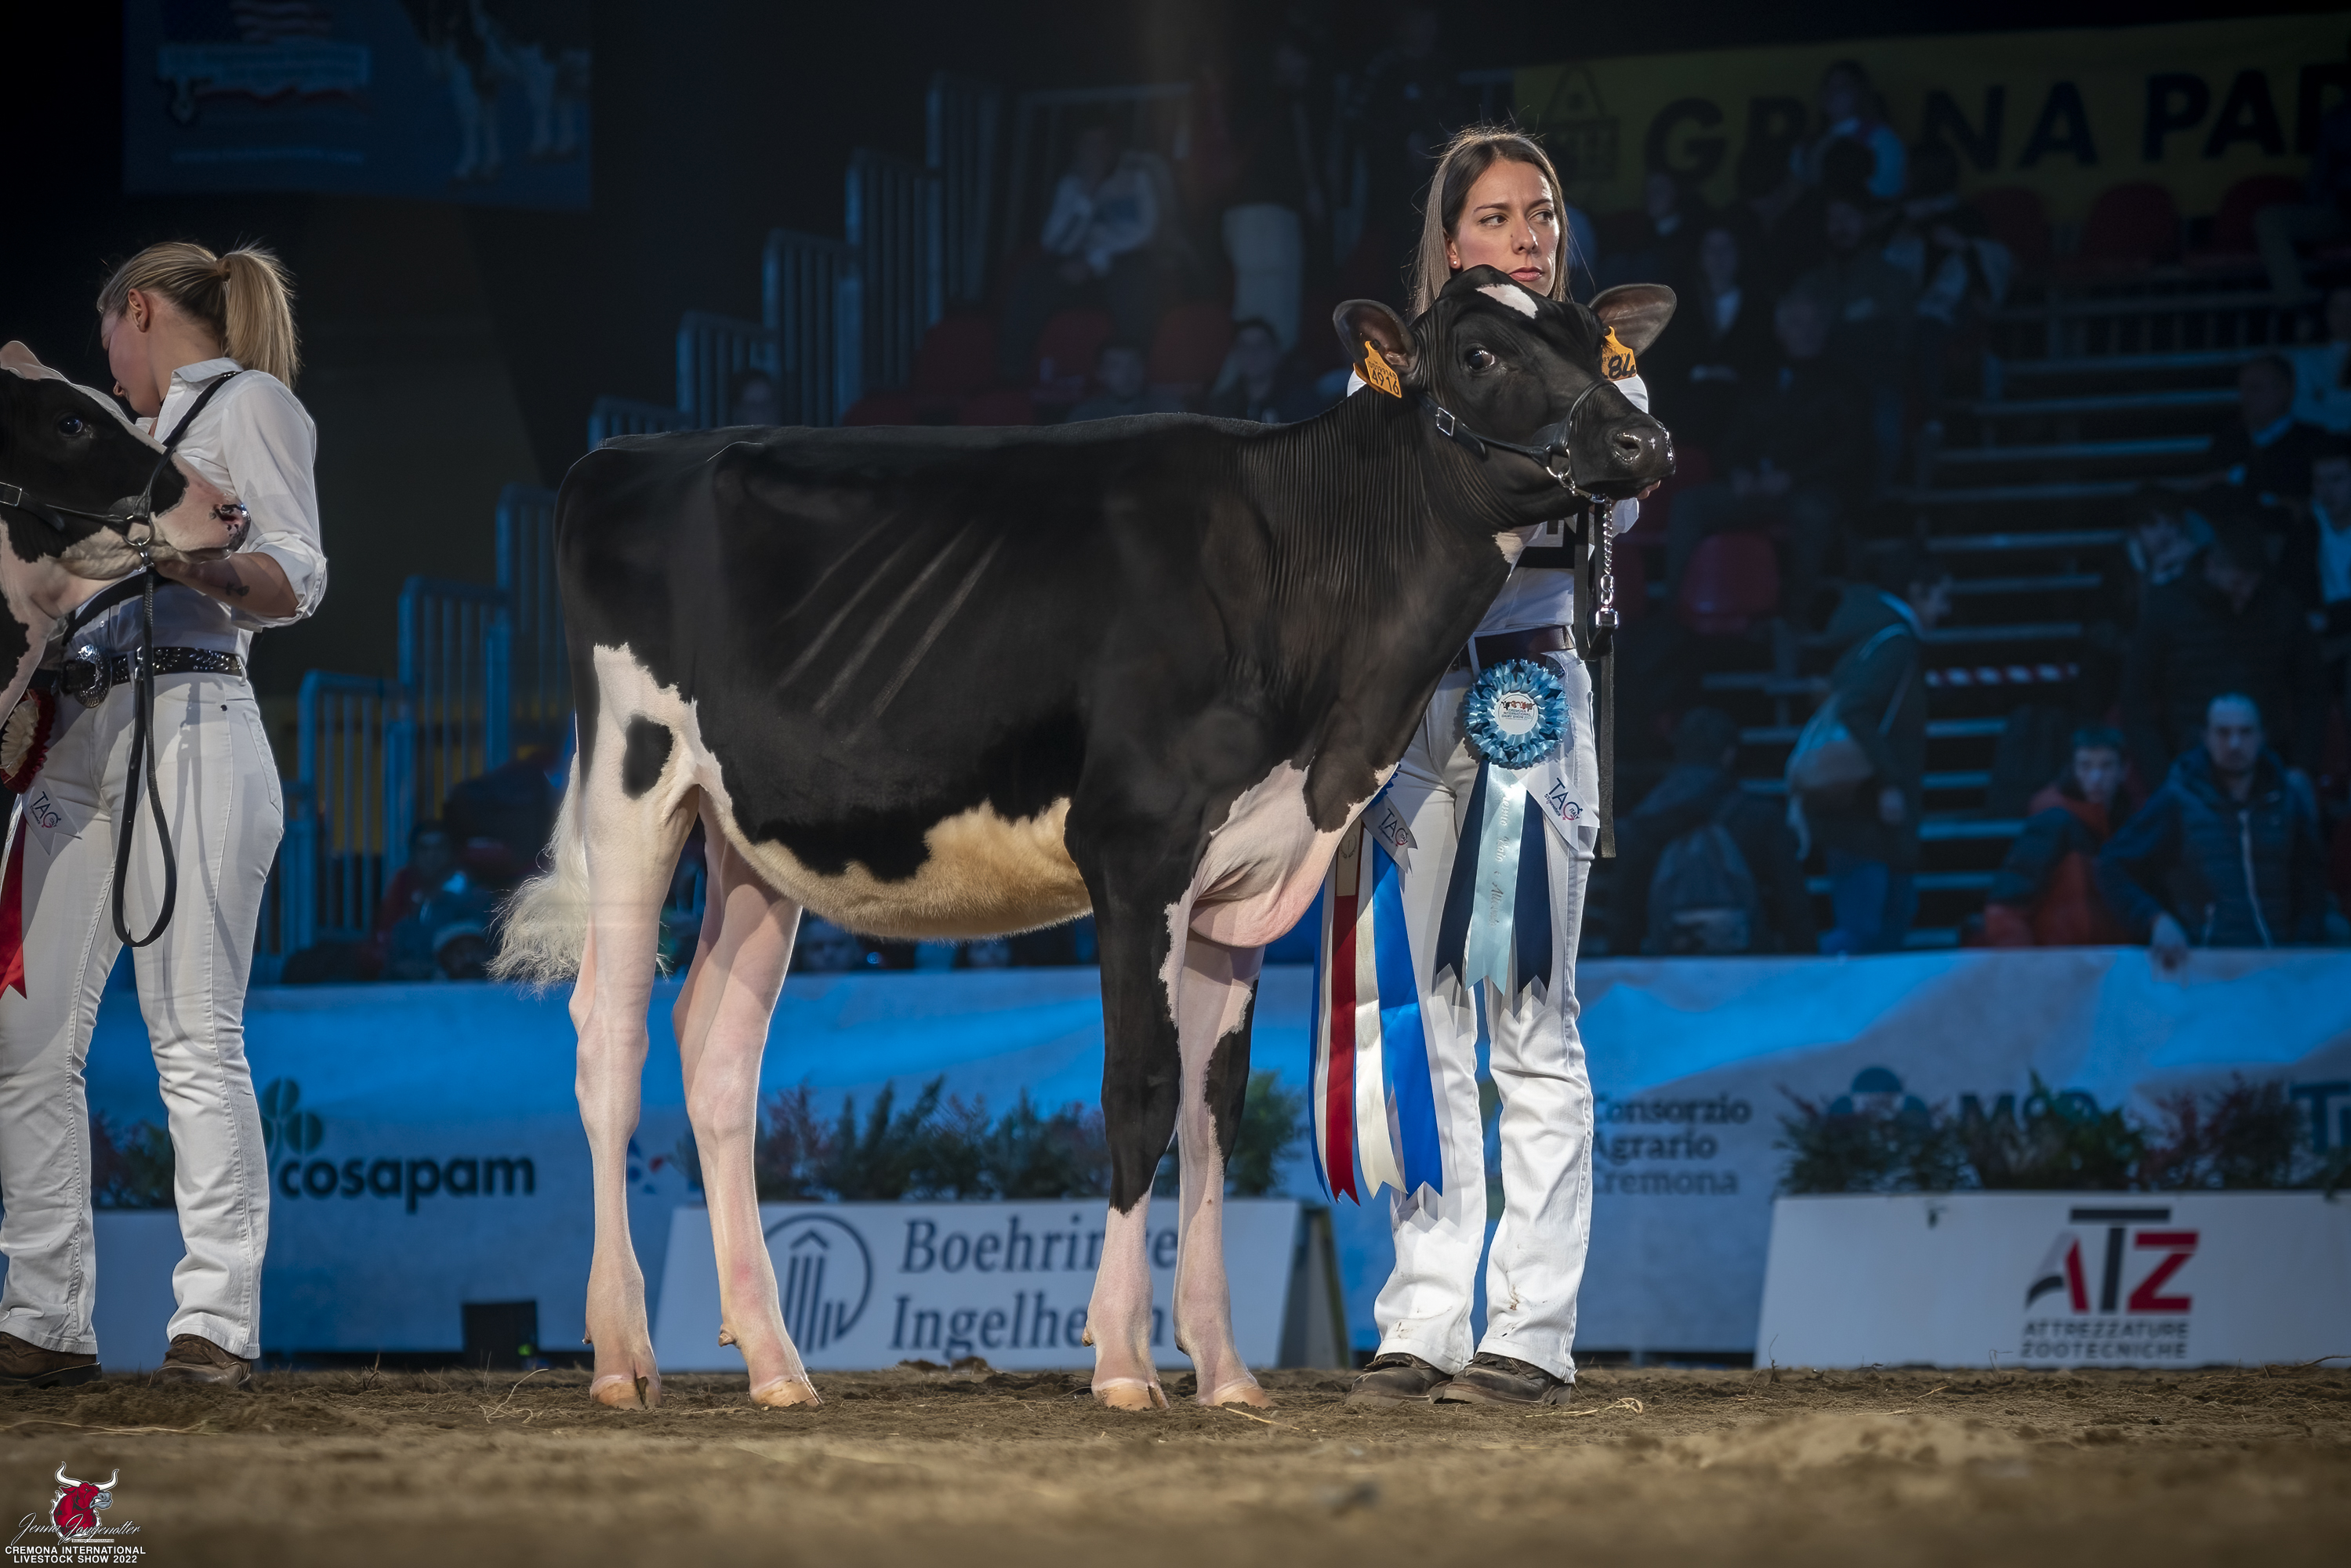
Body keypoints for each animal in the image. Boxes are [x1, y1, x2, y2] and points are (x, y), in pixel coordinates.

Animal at [492, 266, 1676, 1412]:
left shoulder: (1236, 881)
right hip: (633, 785)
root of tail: (626, 454)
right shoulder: (1137, 853)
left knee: (717, 1049)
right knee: (608, 1041)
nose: (1644, 442)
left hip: (752, 838)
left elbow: (1212, 1109)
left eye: (1597, 344)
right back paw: (620, 1353)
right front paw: (1121, 1359)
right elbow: (1138, 1091)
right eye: (1478, 353)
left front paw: (1225, 1370)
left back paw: (777, 1363)